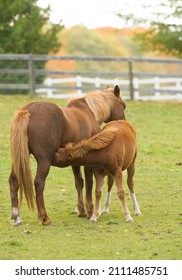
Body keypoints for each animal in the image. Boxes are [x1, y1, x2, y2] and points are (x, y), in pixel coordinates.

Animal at [9, 85, 126, 225]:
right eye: (123, 106)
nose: (123, 122)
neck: (89, 112)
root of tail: (28, 111)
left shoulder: (75, 161)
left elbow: (79, 182)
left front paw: (81, 210)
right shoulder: (88, 162)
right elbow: (89, 183)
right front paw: (90, 211)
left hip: (19, 159)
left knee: (14, 181)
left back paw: (16, 217)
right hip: (44, 161)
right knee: (39, 183)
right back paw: (44, 217)